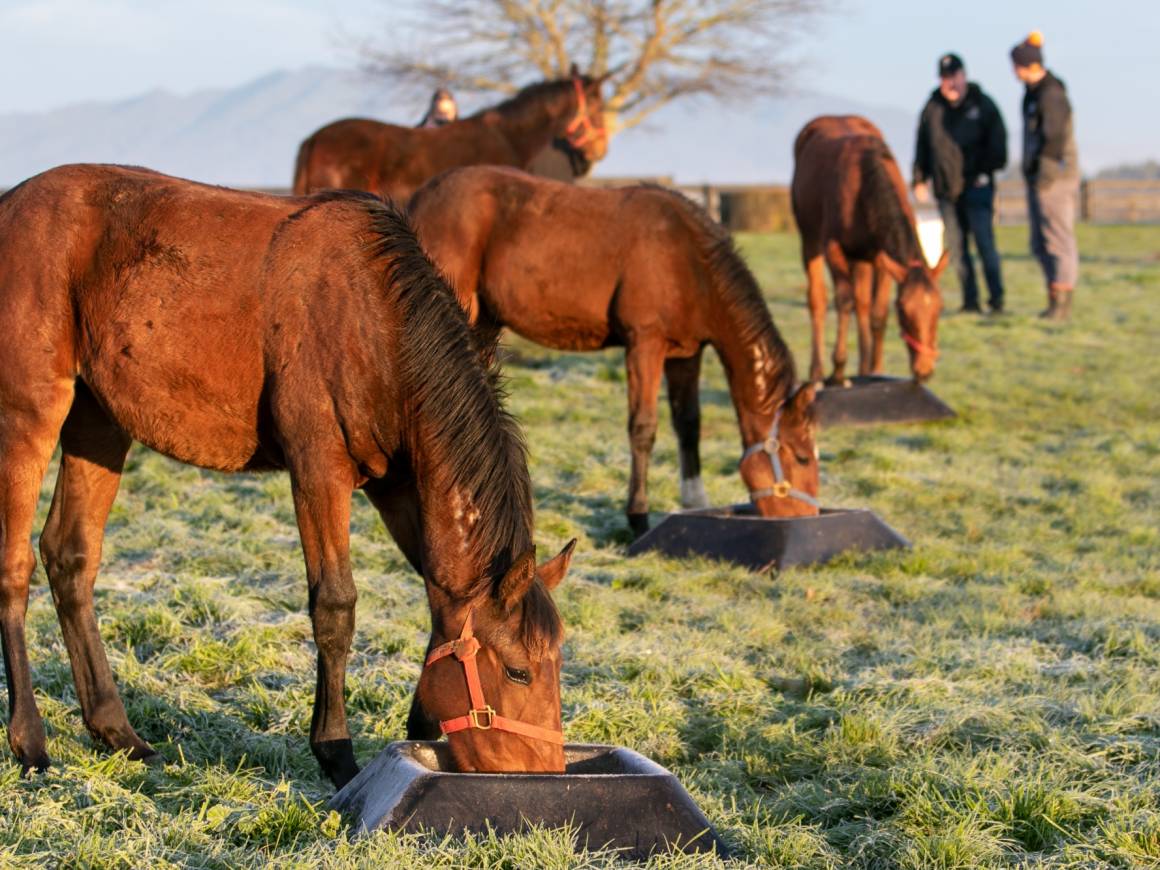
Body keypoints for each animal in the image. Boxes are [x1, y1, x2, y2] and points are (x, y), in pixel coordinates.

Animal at [0, 164, 577, 788]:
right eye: (518, 672)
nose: (546, 774)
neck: (377, 321)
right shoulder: (318, 471)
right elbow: (335, 607)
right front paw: (336, 752)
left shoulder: (400, 489)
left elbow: (436, 601)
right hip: (29, 414)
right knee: (15, 567)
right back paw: (30, 742)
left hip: (98, 422)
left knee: (70, 557)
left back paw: (117, 733)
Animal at [412, 164, 821, 538]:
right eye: (802, 457)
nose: (807, 520)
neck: (687, 258)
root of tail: (423, 196)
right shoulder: (645, 344)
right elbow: (643, 428)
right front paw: (638, 517)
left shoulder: (685, 354)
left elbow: (688, 423)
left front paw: (695, 502)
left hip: (485, 321)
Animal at [793, 116, 946, 385]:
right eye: (903, 309)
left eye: (939, 308)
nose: (924, 370)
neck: (864, 182)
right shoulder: (833, 248)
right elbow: (843, 301)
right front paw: (839, 369)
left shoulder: (880, 257)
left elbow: (876, 313)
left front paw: (874, 369)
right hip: (810, 240)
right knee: (818, 300)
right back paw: (818, 373)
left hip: (861, 259)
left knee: (862, 303)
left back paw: (863, 366)